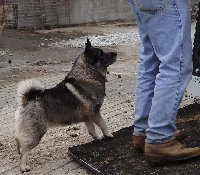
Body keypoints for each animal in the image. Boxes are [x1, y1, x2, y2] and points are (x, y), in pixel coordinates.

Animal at [15, 38, 117, 172]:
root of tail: (27, 100)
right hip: (36, 133)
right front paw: (108, 135)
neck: (87, 75)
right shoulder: (95, 113)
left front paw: (98, 137)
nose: (115, 53)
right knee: (24, 151)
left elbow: (92, 130)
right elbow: (103, 125)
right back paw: (23, 166)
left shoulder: (87, 118)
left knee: (19, 142)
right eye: (101, 54)